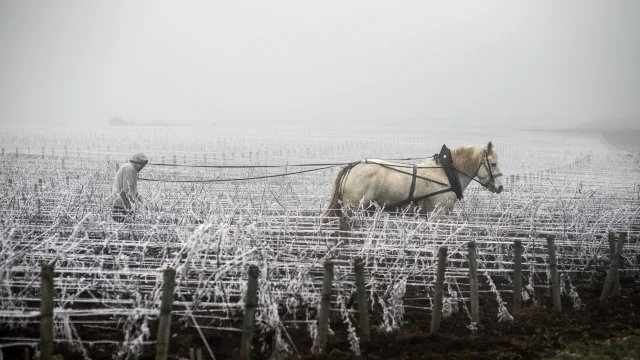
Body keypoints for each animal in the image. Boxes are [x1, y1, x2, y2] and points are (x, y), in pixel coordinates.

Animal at [324, 142, 504, 218]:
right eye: (493, 164)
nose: (500, 187)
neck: (445, 173)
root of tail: (351, 167)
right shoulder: (437, 213)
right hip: (353, 208)